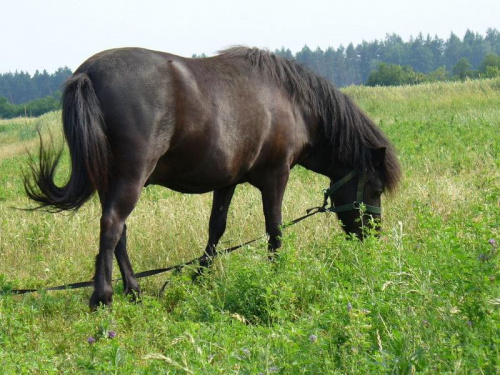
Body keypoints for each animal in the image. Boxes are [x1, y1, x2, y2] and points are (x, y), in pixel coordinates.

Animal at [25, 46, 402, 308]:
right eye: (375, 188)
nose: (372, 236)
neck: (292, 102)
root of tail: (88, 74)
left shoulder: (227, 181)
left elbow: (216, 228)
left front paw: (200, 276)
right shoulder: (276, 175)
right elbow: (275, 228)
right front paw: (277, 273)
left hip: (111, 181)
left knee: (120, 233)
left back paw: (134, 291)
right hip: (130, 179)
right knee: (112, 226)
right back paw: (103, 297)